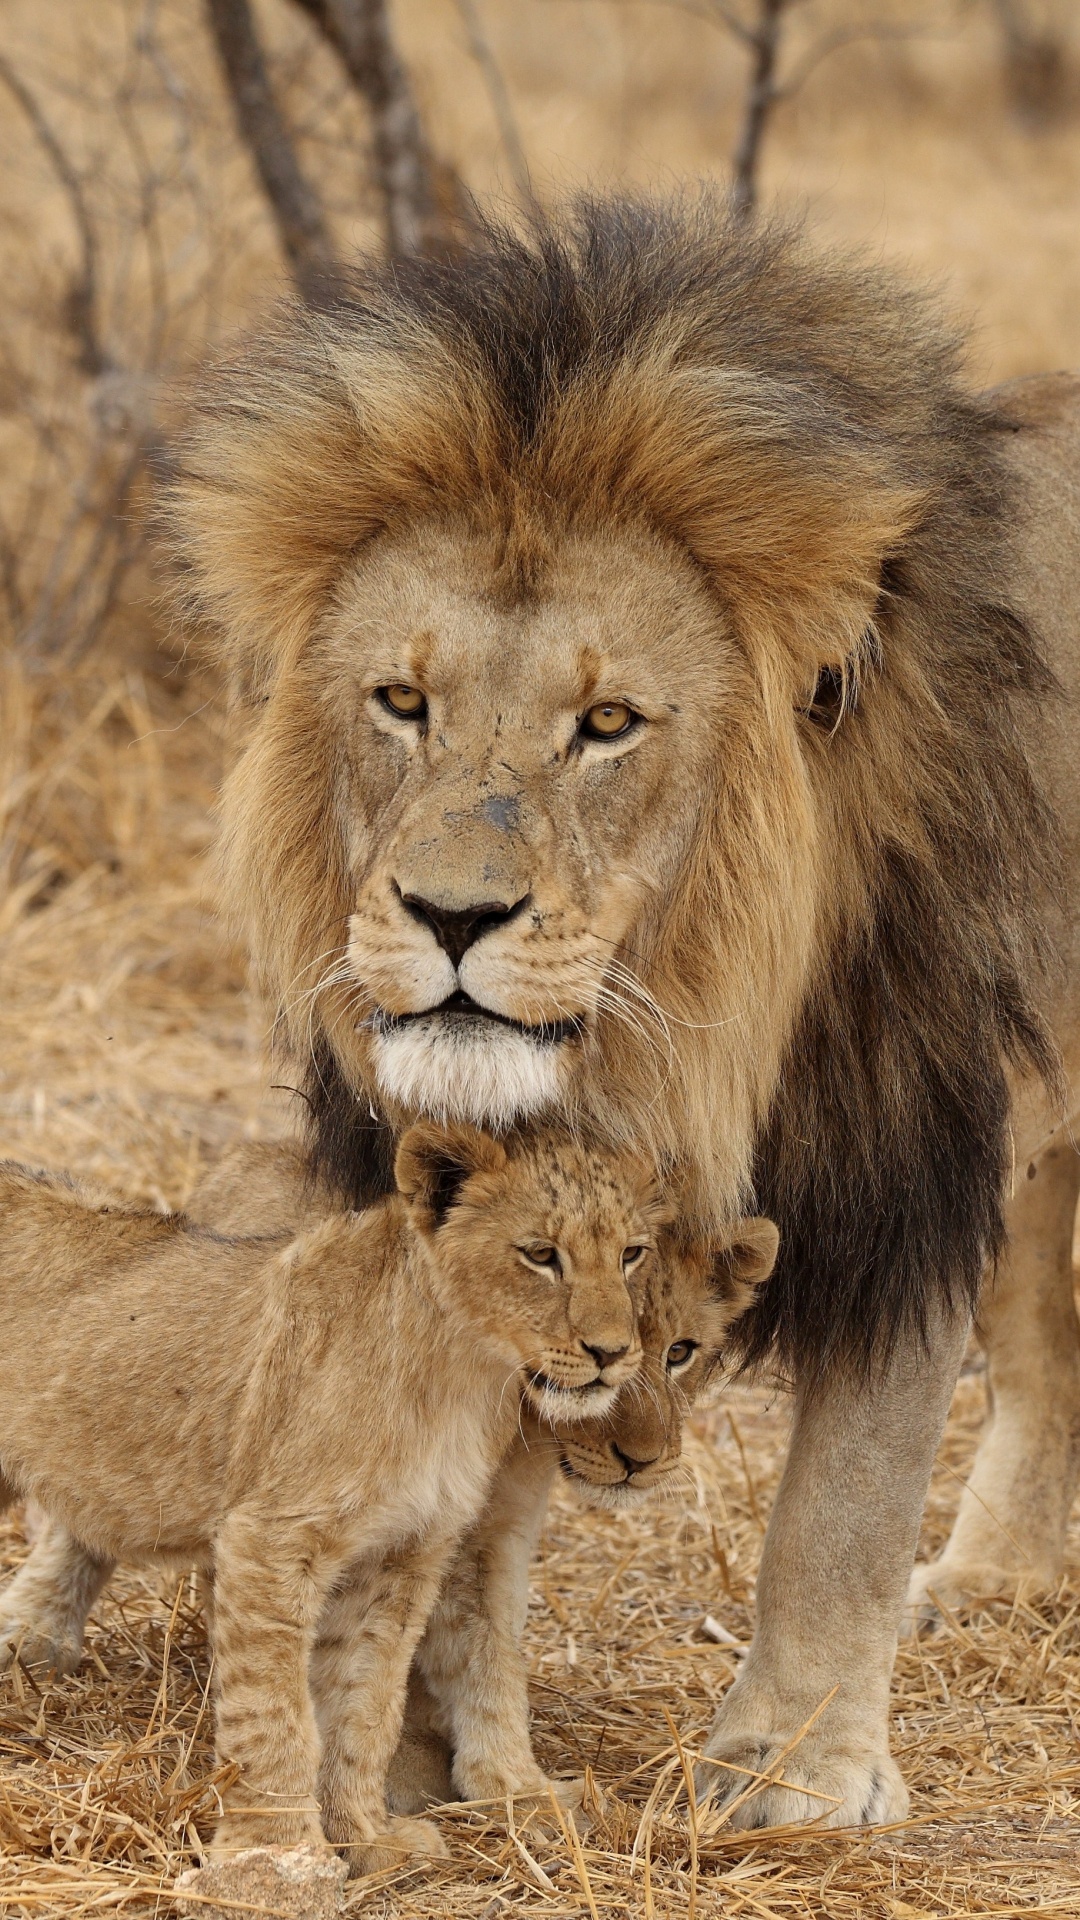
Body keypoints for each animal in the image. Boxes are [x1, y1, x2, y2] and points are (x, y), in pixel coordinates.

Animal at [0, 1125, 668, 1869]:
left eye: (632, 1254)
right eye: (541, 1255)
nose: (613, 1353)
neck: (460, 1373)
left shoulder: (406, 1552)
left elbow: (364, 1705)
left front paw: (366, 1839)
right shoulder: (270, 1538)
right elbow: (276, 1716)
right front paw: (280, 1855)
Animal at [160, 196, 1080, 1825]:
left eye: (606, 724)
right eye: (401, 701)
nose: (452, 917)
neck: (677, 1039)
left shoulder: (918, 1154)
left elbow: (844, 1501)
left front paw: (793, 1775)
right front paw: (407, 1752)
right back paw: (997, 1576)